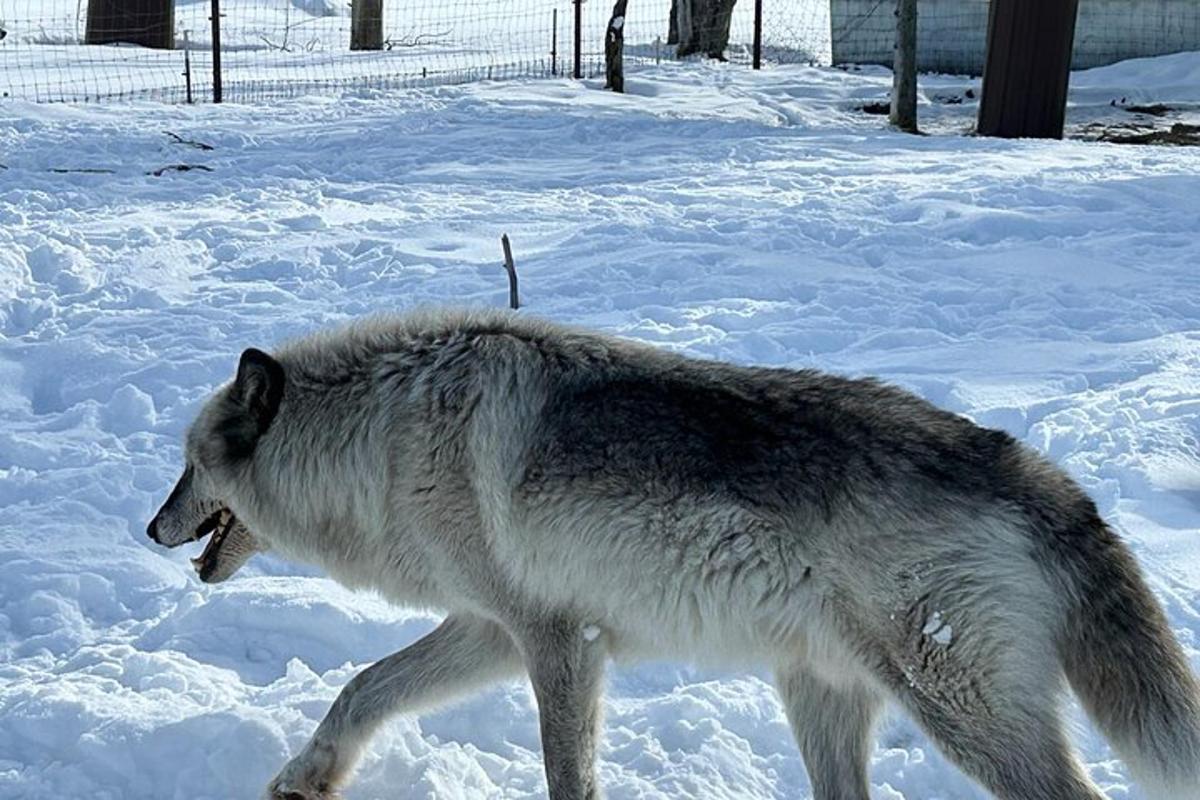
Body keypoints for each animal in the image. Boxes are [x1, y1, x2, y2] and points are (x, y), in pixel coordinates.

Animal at [150, 309, 1200, 800]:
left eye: (187, 466)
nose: (151, 529)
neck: (388, 437)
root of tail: (1043, 476)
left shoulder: (559, 643)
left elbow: (567, 777)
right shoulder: (493, 631)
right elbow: (362, 689)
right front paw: (305, 777)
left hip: (962, 715)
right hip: (823, 697)